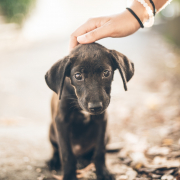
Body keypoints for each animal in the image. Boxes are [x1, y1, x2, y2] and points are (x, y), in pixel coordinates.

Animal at [44, 42, 134, 180]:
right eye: (78, 76)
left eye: (106, 73)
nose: (95, 107)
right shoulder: (61, 122)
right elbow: (66, 154)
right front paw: (69, 175)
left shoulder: (101, 121)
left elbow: (100, 151)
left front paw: (103, 173)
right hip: (51, 130)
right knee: (56, 149)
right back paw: (54, 161)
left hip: (107, 134)